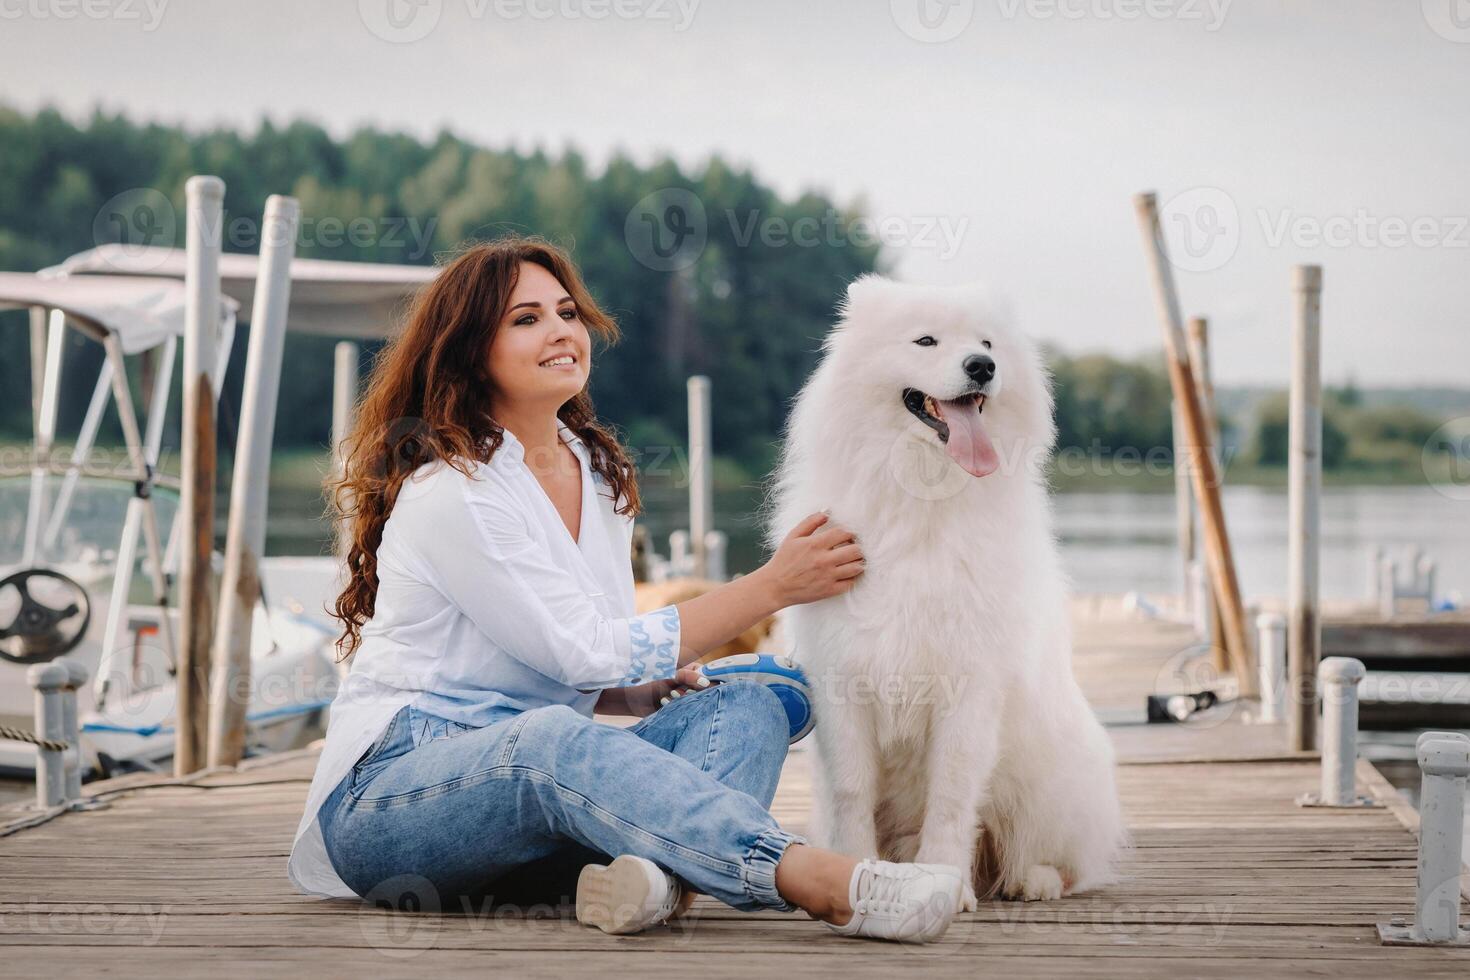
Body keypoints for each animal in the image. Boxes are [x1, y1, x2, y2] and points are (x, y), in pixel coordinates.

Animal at [770, 274, 1123, 905]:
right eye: (925, 341)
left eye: (987, 343)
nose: (982, 366)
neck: (923, 494)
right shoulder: (842, 680)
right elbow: (851, 790)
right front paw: (854, 868)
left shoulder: (970, 684)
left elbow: (953, 795)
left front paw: (945, 881)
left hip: (1055, 779)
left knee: (1056, 858)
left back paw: (1031, 880)